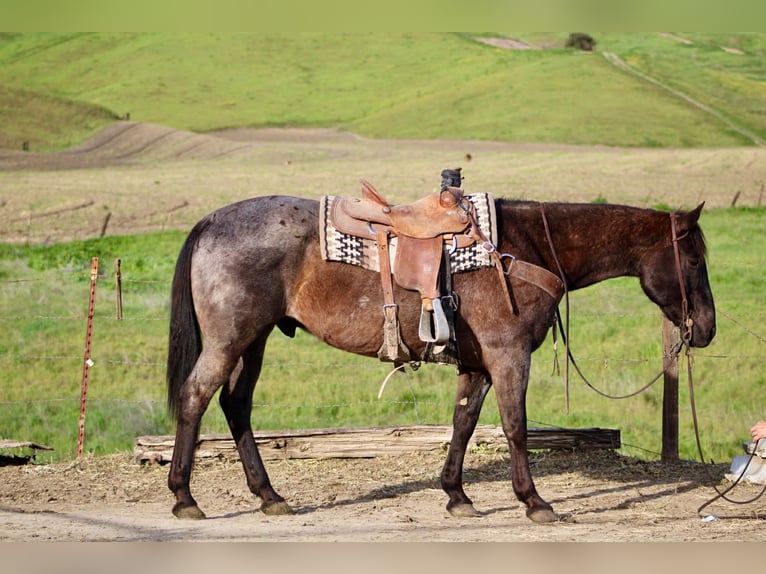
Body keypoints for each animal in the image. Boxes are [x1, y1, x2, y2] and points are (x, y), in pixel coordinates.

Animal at [165, 195, 716, 522]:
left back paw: (269, 496)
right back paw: (184, 497)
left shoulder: (477, 365)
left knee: (236, 405)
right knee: (195, 398)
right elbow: (515, 427)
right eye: (693, 260)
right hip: (229, 341)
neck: (526, 248)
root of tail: (211, 221)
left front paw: (456, 495)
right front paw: (534, 501)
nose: (707, 328)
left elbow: (464, 424)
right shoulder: (508, 355)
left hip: (252, 342)